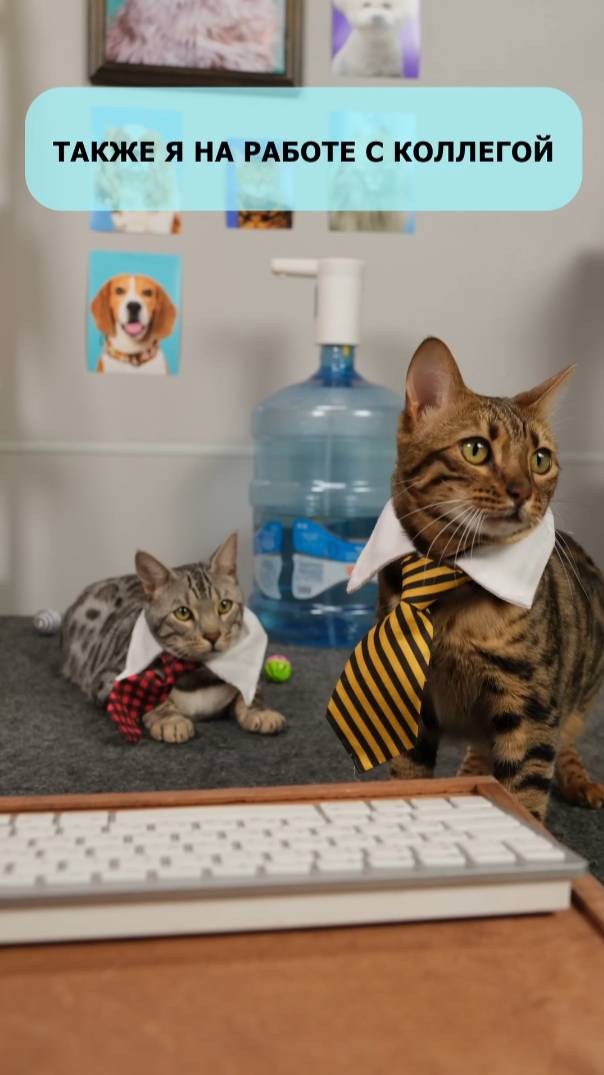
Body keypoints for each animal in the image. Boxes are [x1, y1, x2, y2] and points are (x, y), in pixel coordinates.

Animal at [61, 533, 285, 744]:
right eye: (183, 613)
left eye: (224, 605)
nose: (212, 635)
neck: (197, 675)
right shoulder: (107, 678)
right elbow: (143, 694)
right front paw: (169, 719)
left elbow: (251, 691)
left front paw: (259, 711)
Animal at [379, 337, 604, 820]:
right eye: (476, 450)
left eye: (541, 459)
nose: (524, 492)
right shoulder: (412, 697)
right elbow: (407, 779)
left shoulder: (531, 708)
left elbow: (526, 797)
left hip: (575, 694)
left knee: (568, 742)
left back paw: (580, 782)